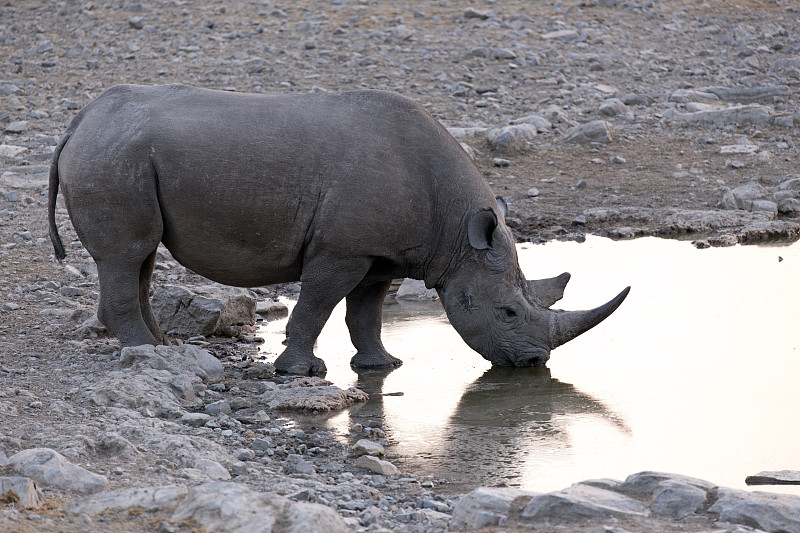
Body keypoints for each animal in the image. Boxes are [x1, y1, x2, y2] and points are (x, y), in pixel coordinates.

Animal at [47, 84, 632, 374]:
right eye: (508, 312)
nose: (534, 363)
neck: (455, 234)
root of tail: (79, 121)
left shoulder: (382, 254)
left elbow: (365, 312)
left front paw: (381, 366)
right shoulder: (341, 249)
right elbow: (317, 304)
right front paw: (300, 373)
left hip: (121, 153)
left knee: (141, 258)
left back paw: (164, 346)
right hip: (112, 158)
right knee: (127, 254)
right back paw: (146, 355)